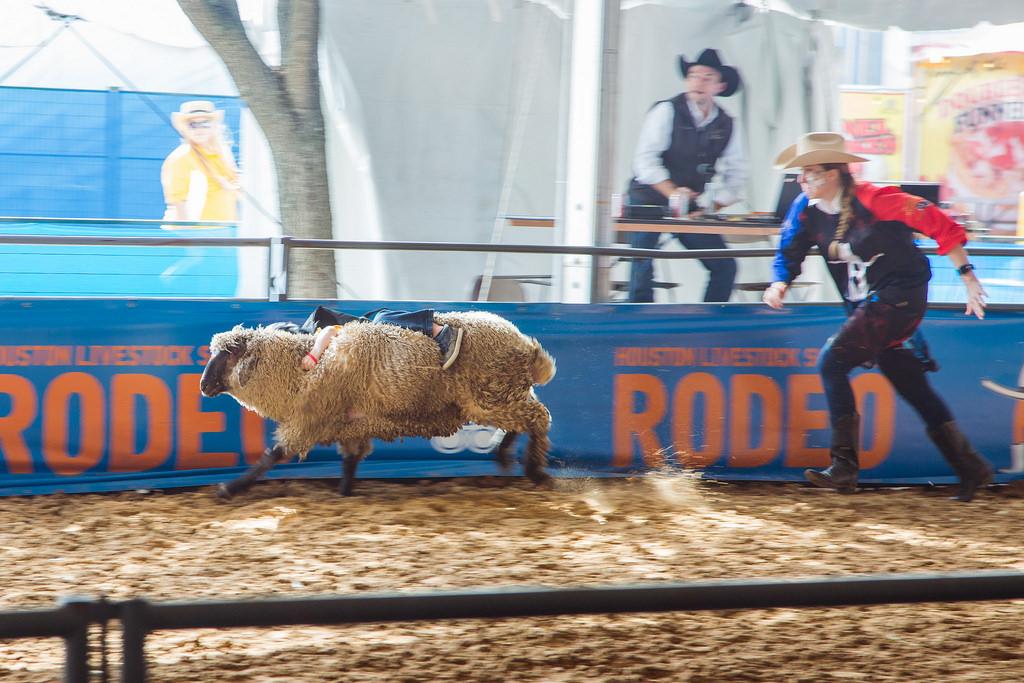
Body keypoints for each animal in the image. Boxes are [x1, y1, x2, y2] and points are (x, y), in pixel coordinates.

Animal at [196, 313, 557, 499]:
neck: (301, 371)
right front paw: (344, 493)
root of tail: (527, 345)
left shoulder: (309, 420)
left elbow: (274, 455)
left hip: (492, 395)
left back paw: (535, 472)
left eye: (228, 353)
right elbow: (350, 462)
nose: (202, 386)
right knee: (529, 416)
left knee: (539, 418)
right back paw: (503, 454)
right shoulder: (349, 425)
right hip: (500, 394)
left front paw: (229, 488)